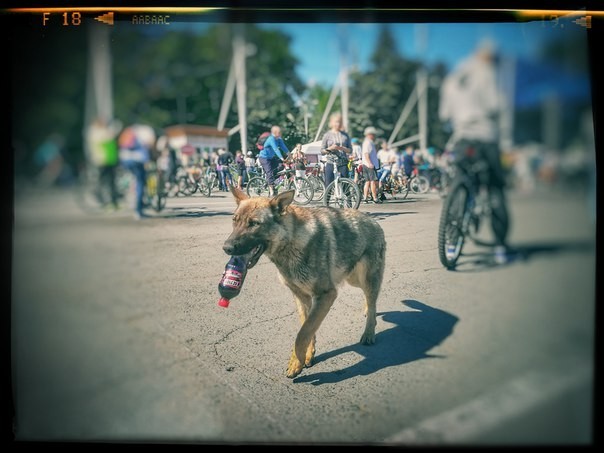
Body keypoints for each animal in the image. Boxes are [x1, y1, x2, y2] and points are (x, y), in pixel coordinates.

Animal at [222, 185, 386, 378]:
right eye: (235, 221)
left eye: (254, 223)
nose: (226, 248)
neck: (290, 241)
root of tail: (372, 220)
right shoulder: (302, 297)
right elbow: (307, 329)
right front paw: (306, 356)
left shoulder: (326, 295)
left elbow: (302, 334)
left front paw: (296, 362)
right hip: (353, 278)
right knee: (369, 299)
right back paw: (367, 311)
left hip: (366, 278)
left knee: (373, 299)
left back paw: (369, 332)